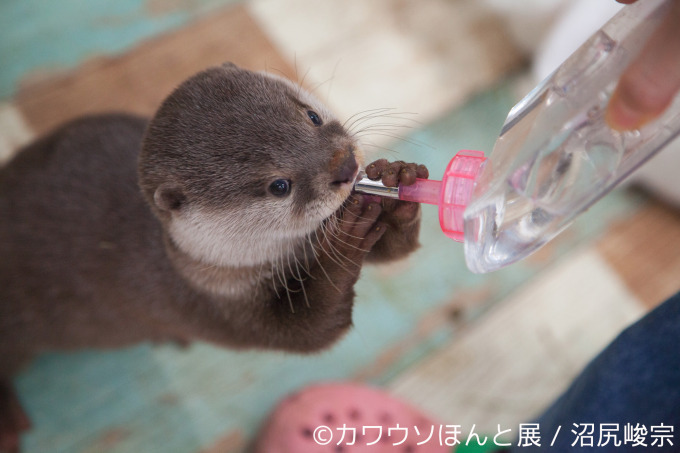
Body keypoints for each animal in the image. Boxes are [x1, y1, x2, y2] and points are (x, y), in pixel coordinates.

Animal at [0, 62, 424, 448]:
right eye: (279, 185)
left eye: (312, 116)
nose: (347, 165)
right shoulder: (210, 308)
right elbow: (314, 331)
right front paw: (347, 236)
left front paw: (398, 183)